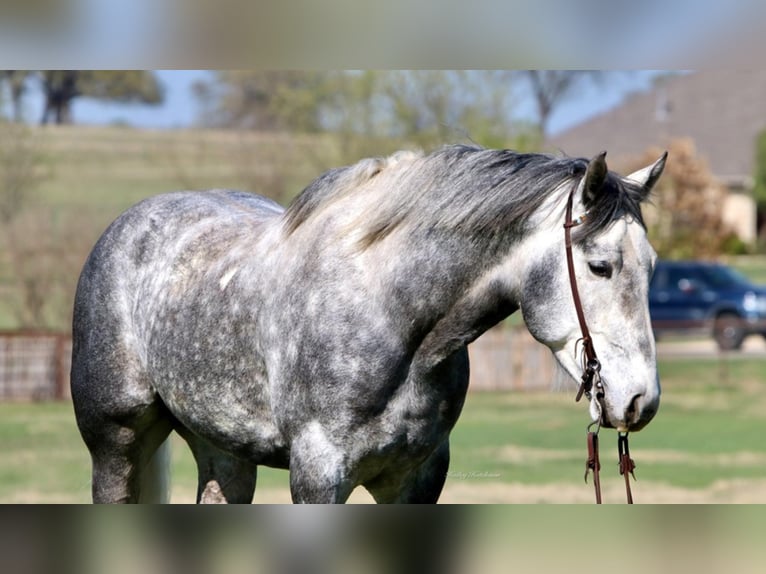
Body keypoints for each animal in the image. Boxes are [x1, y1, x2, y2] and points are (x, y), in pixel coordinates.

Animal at [75, 145, 668, 504]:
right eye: (600, 266)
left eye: (653, 266)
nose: (641, 400)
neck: (391, 317)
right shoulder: (319, 476)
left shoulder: (417, 478)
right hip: (116, 446)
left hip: (223, 451)